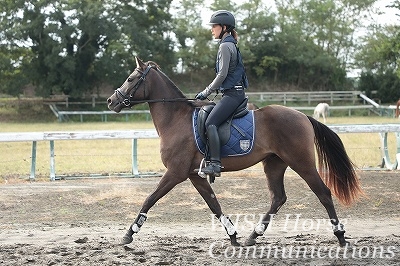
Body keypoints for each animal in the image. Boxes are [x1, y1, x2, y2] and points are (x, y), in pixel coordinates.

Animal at [106, 57, 362, 248]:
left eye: (130, 79)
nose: (110, 101)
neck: (176, 119)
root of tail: (302, 116)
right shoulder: (193, 175)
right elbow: (214, 204)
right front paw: (232, 235)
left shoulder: (175, 173)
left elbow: (150, 198)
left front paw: (129, 233)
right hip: (274, 164)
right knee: (278, 198)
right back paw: (253, 236)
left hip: (302, 163)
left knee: (323, 193)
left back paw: (340, 236)